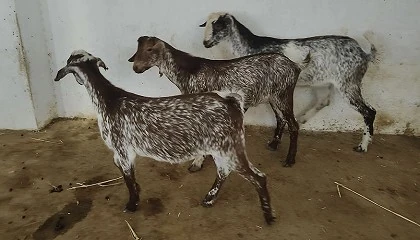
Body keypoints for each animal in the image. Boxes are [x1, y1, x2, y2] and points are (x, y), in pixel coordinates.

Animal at [52, 49, 276, 224]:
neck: (109, 99)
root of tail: (232, 101)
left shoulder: (122, 150)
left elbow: (128, 180)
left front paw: (132, 204)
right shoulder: (121, 153)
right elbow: (130, 178)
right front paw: (137, 194)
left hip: (230, 147)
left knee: (258, 177)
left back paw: (268, 216)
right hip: (221, 148)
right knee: (223, 172)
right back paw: (209, 199)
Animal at [128, 36, 308, 171]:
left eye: (149, 49)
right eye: (138, 50)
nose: (136, 68)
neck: (188, 71)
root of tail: (294, 66)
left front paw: (197, 163)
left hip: (283, 95)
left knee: (293, 124)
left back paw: (290, 159)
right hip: (273, 97)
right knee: (280, 119)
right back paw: (274, 144)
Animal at [199, 12, 378, 152]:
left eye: (218, 26)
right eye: (206, 25)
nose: (205, 43)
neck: (249, 48)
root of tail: (364, 54)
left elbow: (279, 116)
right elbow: (280, 117)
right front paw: (274, 143)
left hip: (348, 84)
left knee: (369, 111)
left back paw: (362, 146)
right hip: (323, 83)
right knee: (324, 101)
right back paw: (303, 118)